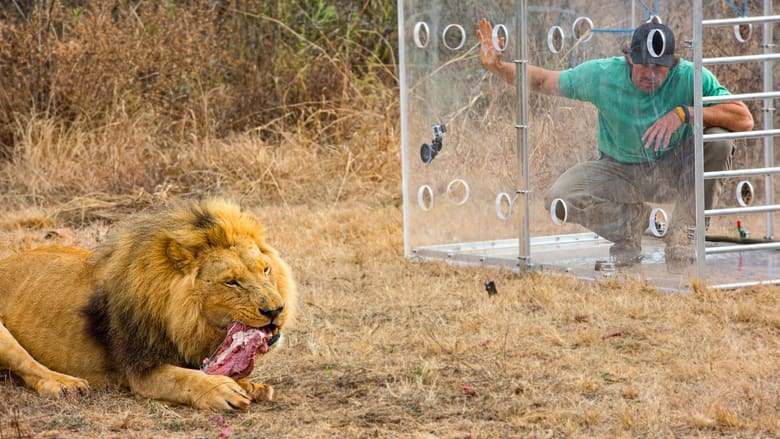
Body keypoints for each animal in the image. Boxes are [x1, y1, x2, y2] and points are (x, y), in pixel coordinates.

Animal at [0, 198, 297, 411]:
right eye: (231, 282)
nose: (275, 310)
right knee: (30, 369)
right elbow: (184, 378)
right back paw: (65, 384)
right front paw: (221, 389)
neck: (193, 325)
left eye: (266, 270)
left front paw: (250, 385)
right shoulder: (140, 368)